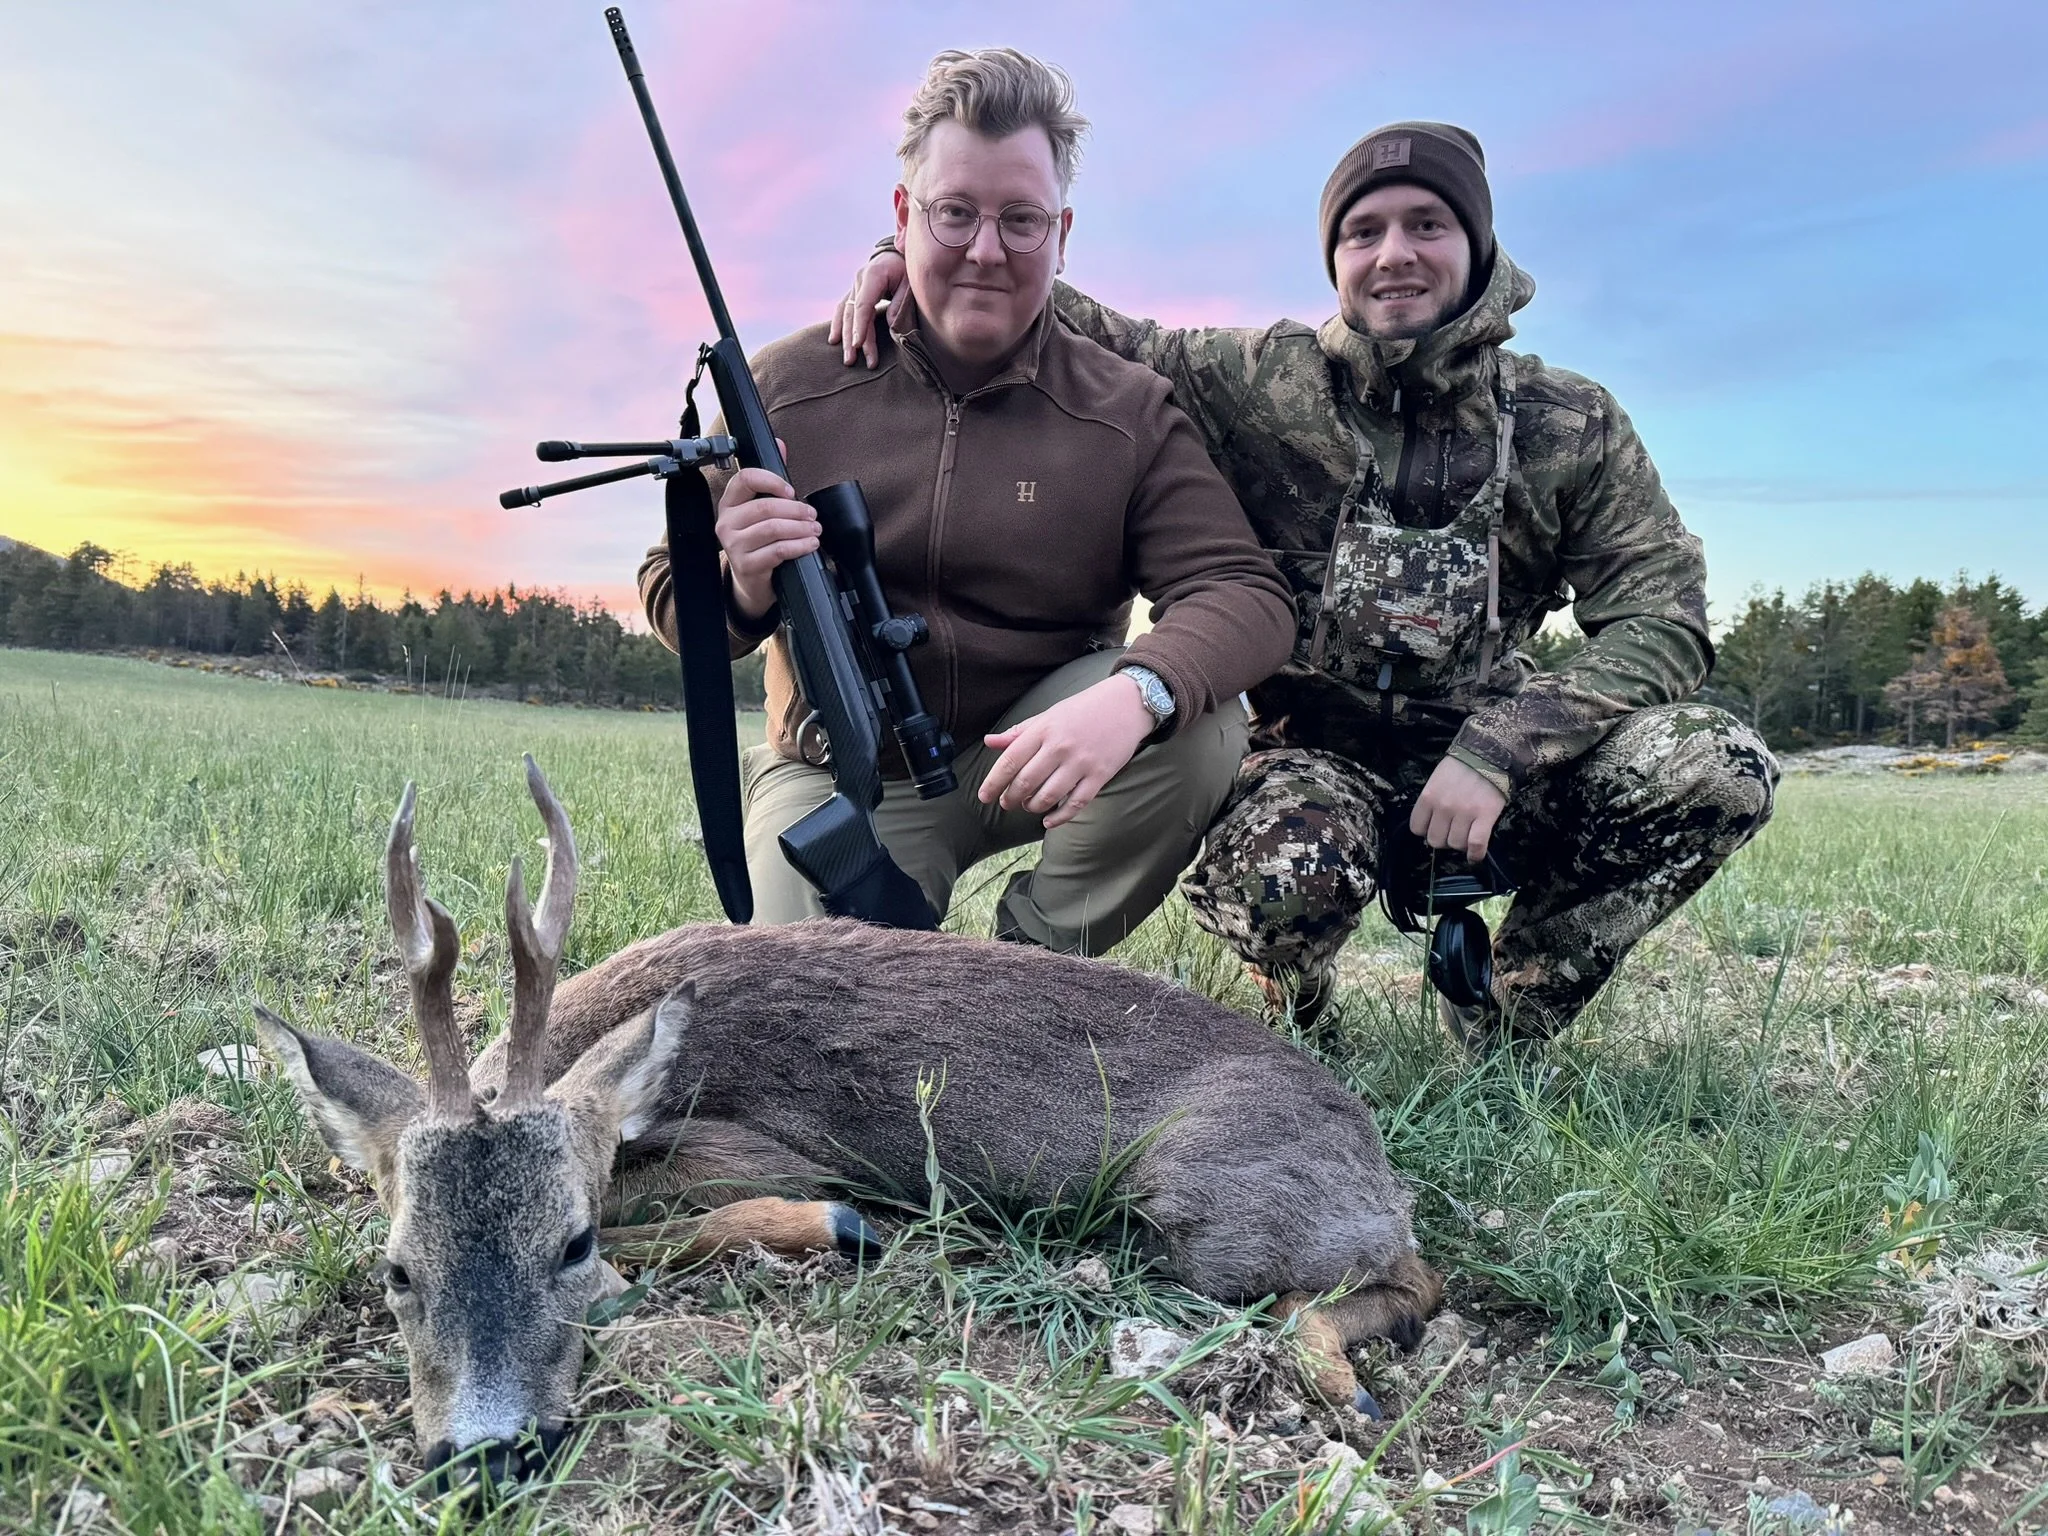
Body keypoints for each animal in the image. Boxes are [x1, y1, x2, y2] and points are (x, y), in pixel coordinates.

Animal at [252, 757, 1440, 1484]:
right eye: (398, 1268)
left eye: (570, 1243)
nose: (486, 1451)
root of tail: (1373, 1160)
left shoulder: (751, 1148)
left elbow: (691, 1219)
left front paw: (835, 1227)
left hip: (1211, 1214)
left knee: (1399, 1283)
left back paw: (1348, 1388)